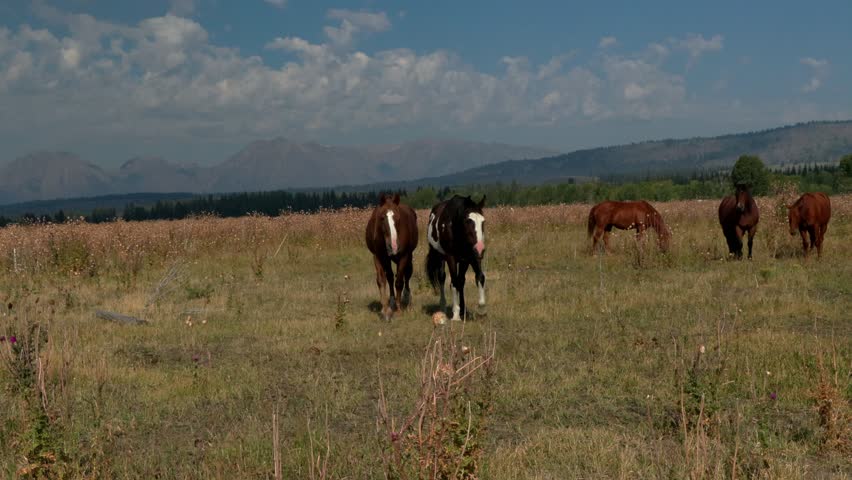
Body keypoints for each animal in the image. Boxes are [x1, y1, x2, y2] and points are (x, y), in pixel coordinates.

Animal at [365, 193, 418, 321]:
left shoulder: (403, 256)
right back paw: (392, 302)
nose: (393, 246)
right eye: (382, 217)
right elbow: (381, 280)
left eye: (398, 218)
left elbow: (399, 282)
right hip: (387, 259)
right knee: (389, 277)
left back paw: (406, 299)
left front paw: (398, 310)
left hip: (408, 257)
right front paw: (385, 310)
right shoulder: (378, 256)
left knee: (407, 276)